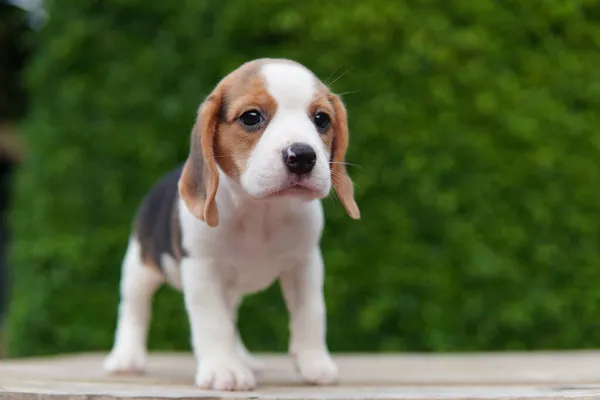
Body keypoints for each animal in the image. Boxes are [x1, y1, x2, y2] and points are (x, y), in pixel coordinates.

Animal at [102, 58, 360, 390]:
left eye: (322, 119)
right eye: (251, 117)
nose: (302, 156)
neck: (261, 211)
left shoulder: (305, 264)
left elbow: (310, 315)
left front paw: (315, 364)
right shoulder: (202, 270)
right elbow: (213, 323)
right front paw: (224, 369)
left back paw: (244, 358)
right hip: (140, 265)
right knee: (134, 310)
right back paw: (126, 357)